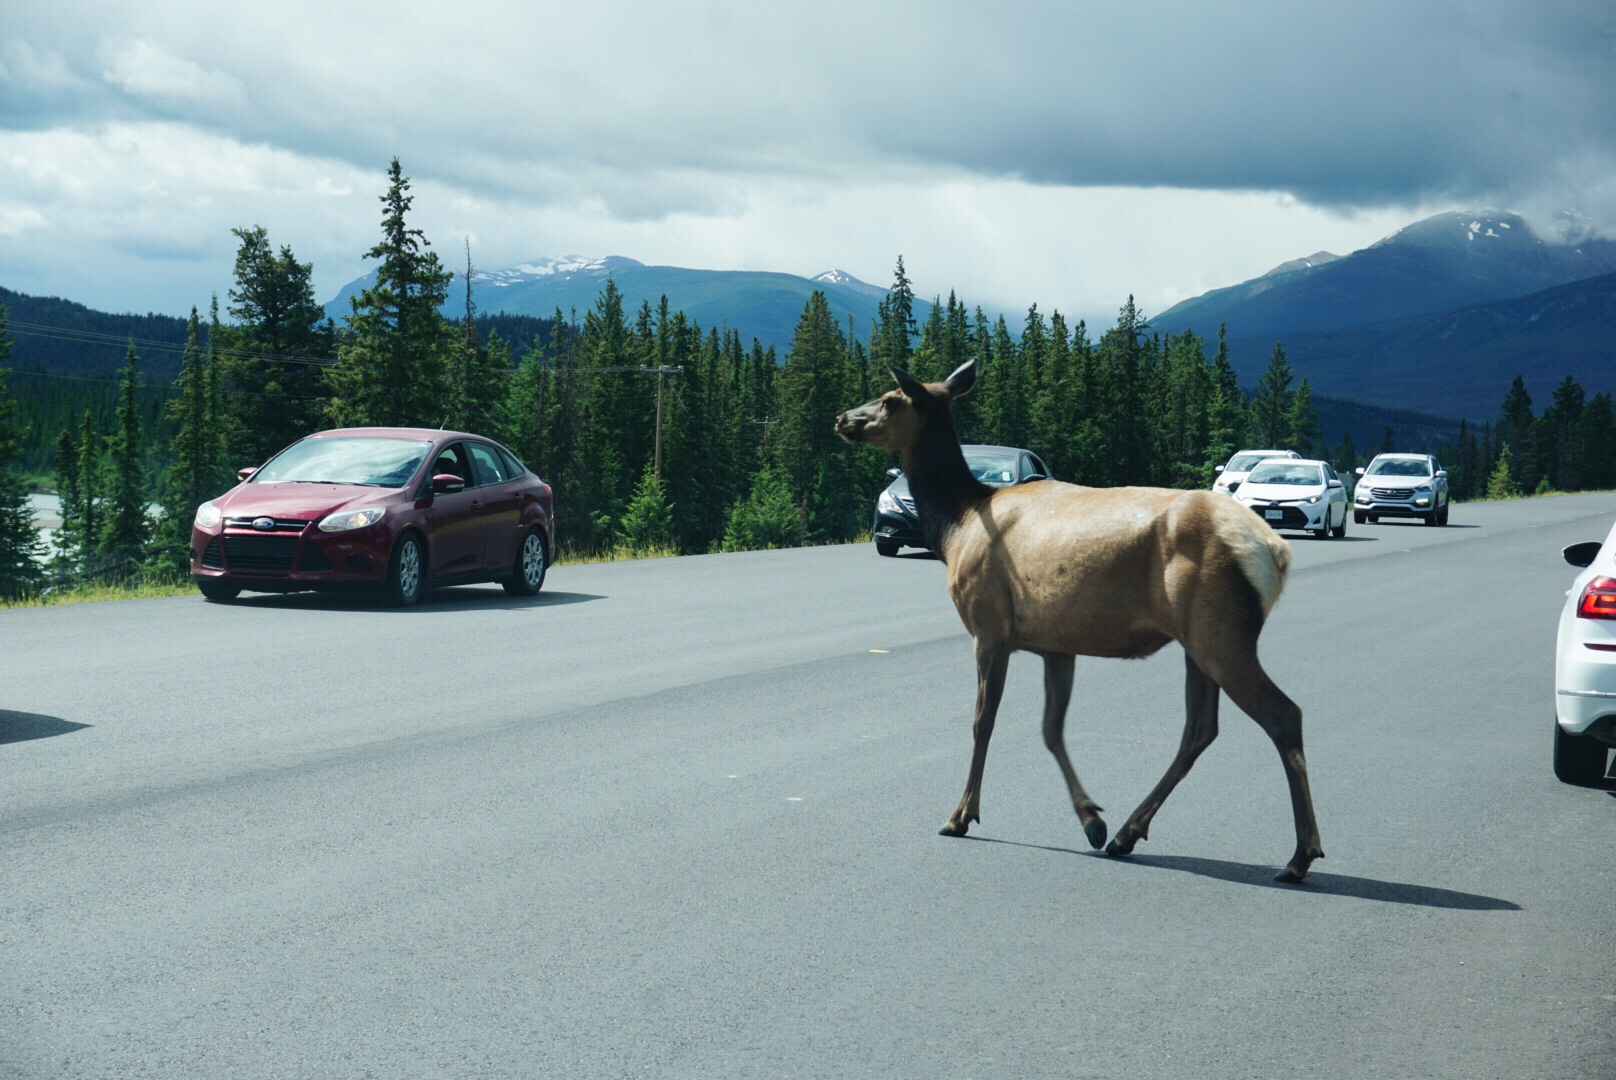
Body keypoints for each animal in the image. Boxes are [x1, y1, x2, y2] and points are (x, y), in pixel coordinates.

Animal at [833, 358, 1325, 879]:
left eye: (890, 399)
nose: (843, 417)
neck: (955, 527)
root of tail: (1275, 553)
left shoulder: (989, 628)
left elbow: (982, 721)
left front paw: (961, 815)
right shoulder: (1056, 643)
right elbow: (1051, 729)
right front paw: (1092, 819)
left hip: (1222, 632)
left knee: (1283, 715)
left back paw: (1300, 855)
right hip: (1200, 640)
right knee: (1200, 728)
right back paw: (1128, 833)